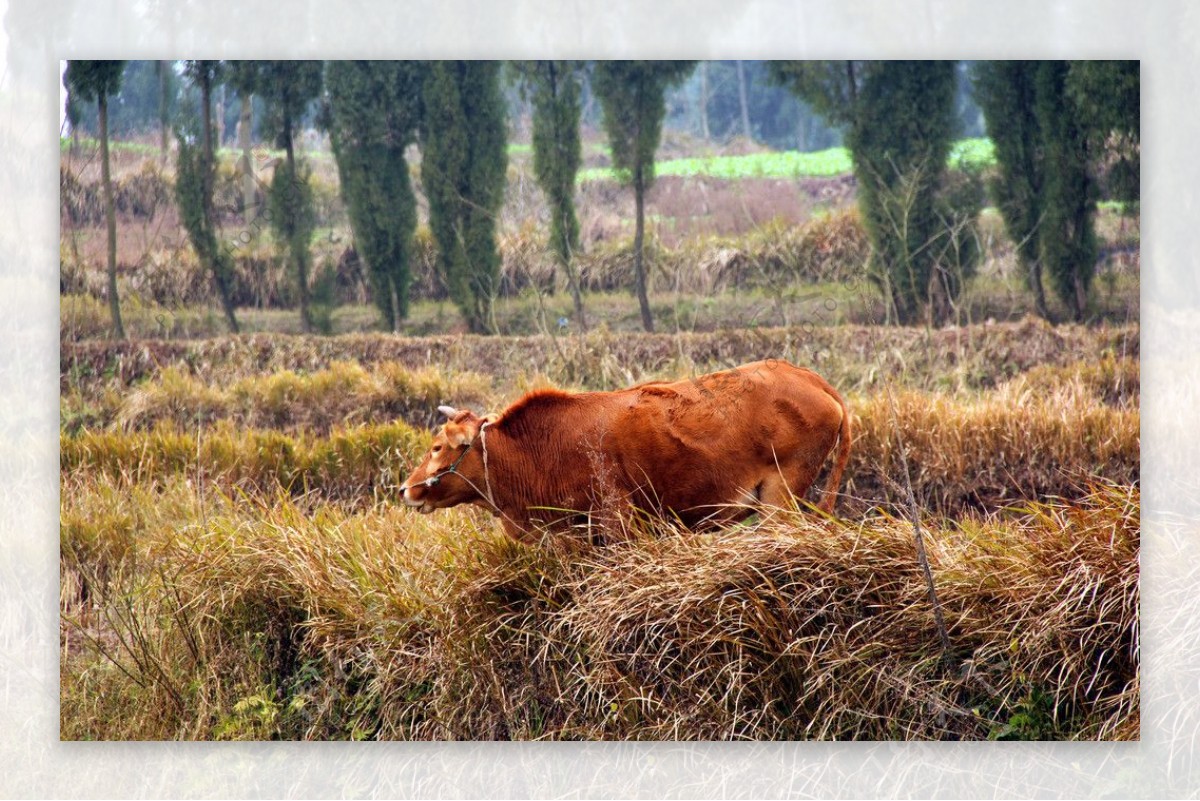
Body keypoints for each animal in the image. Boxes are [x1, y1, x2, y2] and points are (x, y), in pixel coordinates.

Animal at [403, 362, 854, 544]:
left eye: (438, 446)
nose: (406, 489)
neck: (536, 449)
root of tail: (810, 378)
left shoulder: (617, 523)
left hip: (781, 500)